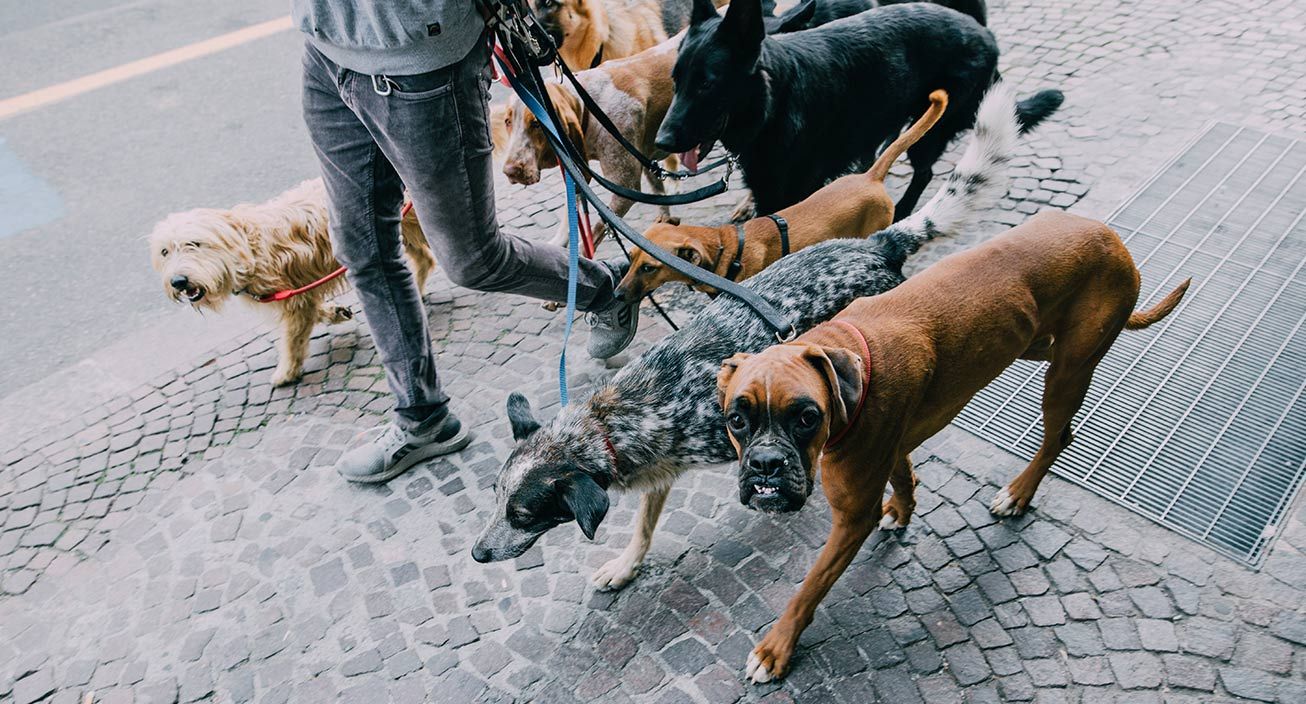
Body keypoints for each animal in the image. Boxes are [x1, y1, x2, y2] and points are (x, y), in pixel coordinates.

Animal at [147, 176, 433, 386]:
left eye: (194, 244)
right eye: (165, 252)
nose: (178, 281)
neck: (247, 247)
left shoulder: (293, 301)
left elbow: (291, 338)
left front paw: (286, 371)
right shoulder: (300, 292)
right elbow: (312, 311)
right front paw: (335, 312)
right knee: (424, 258)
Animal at [475, 82, 1034, 590]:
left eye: (523, 514)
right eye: (495, 495)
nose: (478, 554)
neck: (613, 422)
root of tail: (878, 244)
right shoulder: (662, 474)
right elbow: (642, 530)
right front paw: (626, 565)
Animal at [653, 0, 1060, 218]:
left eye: (707, 83)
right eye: (676, 80)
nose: (660, 143)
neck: (776, 103)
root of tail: (985, 34)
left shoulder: (790, 194)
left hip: (930, 130)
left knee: (924, 172)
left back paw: (900, 210)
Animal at [720, 208, 1191, 684]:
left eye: (807, 418)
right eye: (736, 420)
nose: (765, 463)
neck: (851, 364)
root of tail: (1111, 238)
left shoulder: (852, 518)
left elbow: (811, 586)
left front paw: (776, 648)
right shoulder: (891, 447)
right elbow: (904, 478)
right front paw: (902, 512)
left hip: (1067, 374)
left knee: (1059, 436)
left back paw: (1019, 494)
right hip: (1038, 345)